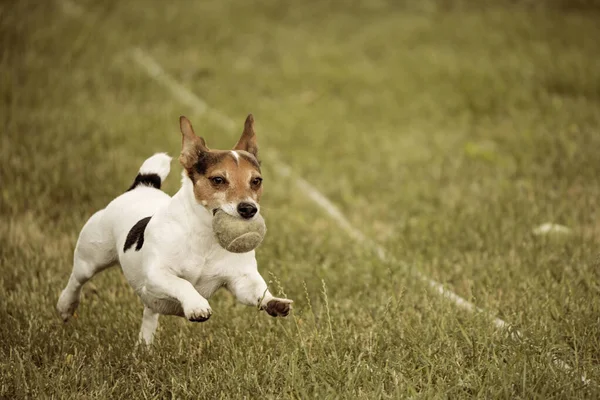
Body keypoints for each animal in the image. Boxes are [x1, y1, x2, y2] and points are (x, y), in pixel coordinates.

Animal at [56, 115, 292, 344]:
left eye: (256, 181)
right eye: (218, 180)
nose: (249, 209)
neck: (206, 236)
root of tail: (142, 186)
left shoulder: (240, 279)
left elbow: (257, 291)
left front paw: (274, 302)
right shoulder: (156, 274)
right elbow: (182, 283)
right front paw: (197, 306)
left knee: (150, 312)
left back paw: (144, 346)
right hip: (92, 257)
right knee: (76, 280)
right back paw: (66, 306)